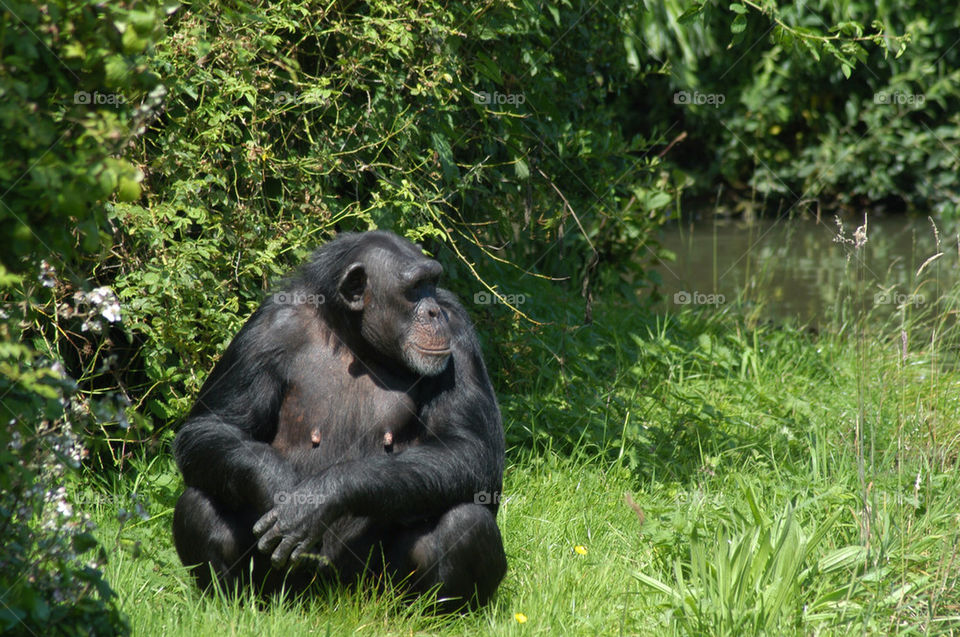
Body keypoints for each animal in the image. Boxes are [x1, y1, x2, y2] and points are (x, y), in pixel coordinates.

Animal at [172, 231, 506, 608]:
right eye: (414, 288)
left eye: (433, 284)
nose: (434, 311)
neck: (354, 340)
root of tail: (334, 596)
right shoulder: (264, 330)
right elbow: (215, 425)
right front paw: (278, 488)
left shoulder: (458, 331)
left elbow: (469, 446)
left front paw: (321, 497)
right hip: (289, 586)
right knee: (200, 502)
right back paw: (235, 605)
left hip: (376, 587)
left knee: (465, 521)